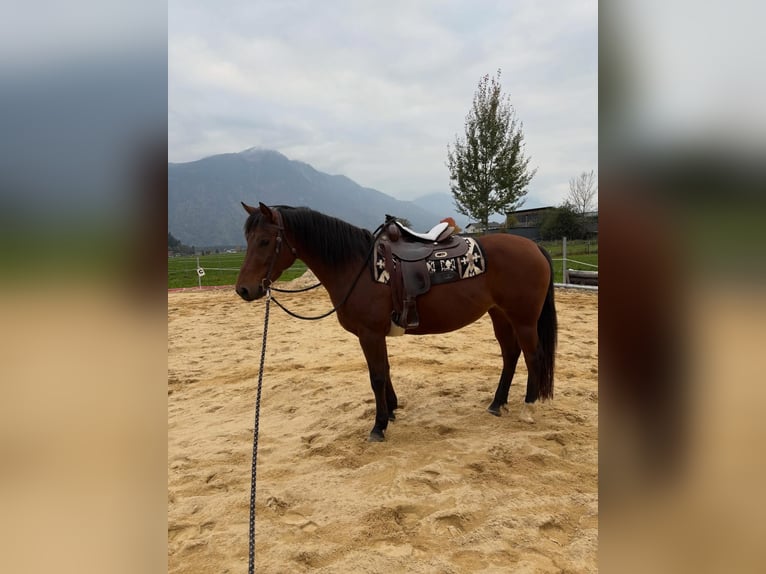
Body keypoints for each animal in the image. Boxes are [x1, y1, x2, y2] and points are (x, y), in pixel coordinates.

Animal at [235, 202, 557, 442]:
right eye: (247, 240)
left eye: (265, 241)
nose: (244, 289)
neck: (357, 266)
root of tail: (534, 247)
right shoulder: (376, 335)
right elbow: (385, 371)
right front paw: (390, 410)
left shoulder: (370, 334)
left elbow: (376, 376)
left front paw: (379, 426)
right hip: (499, 315)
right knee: (510, 355)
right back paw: (496, 403)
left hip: (523, 319)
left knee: (533, 356)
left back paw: (528, 407)